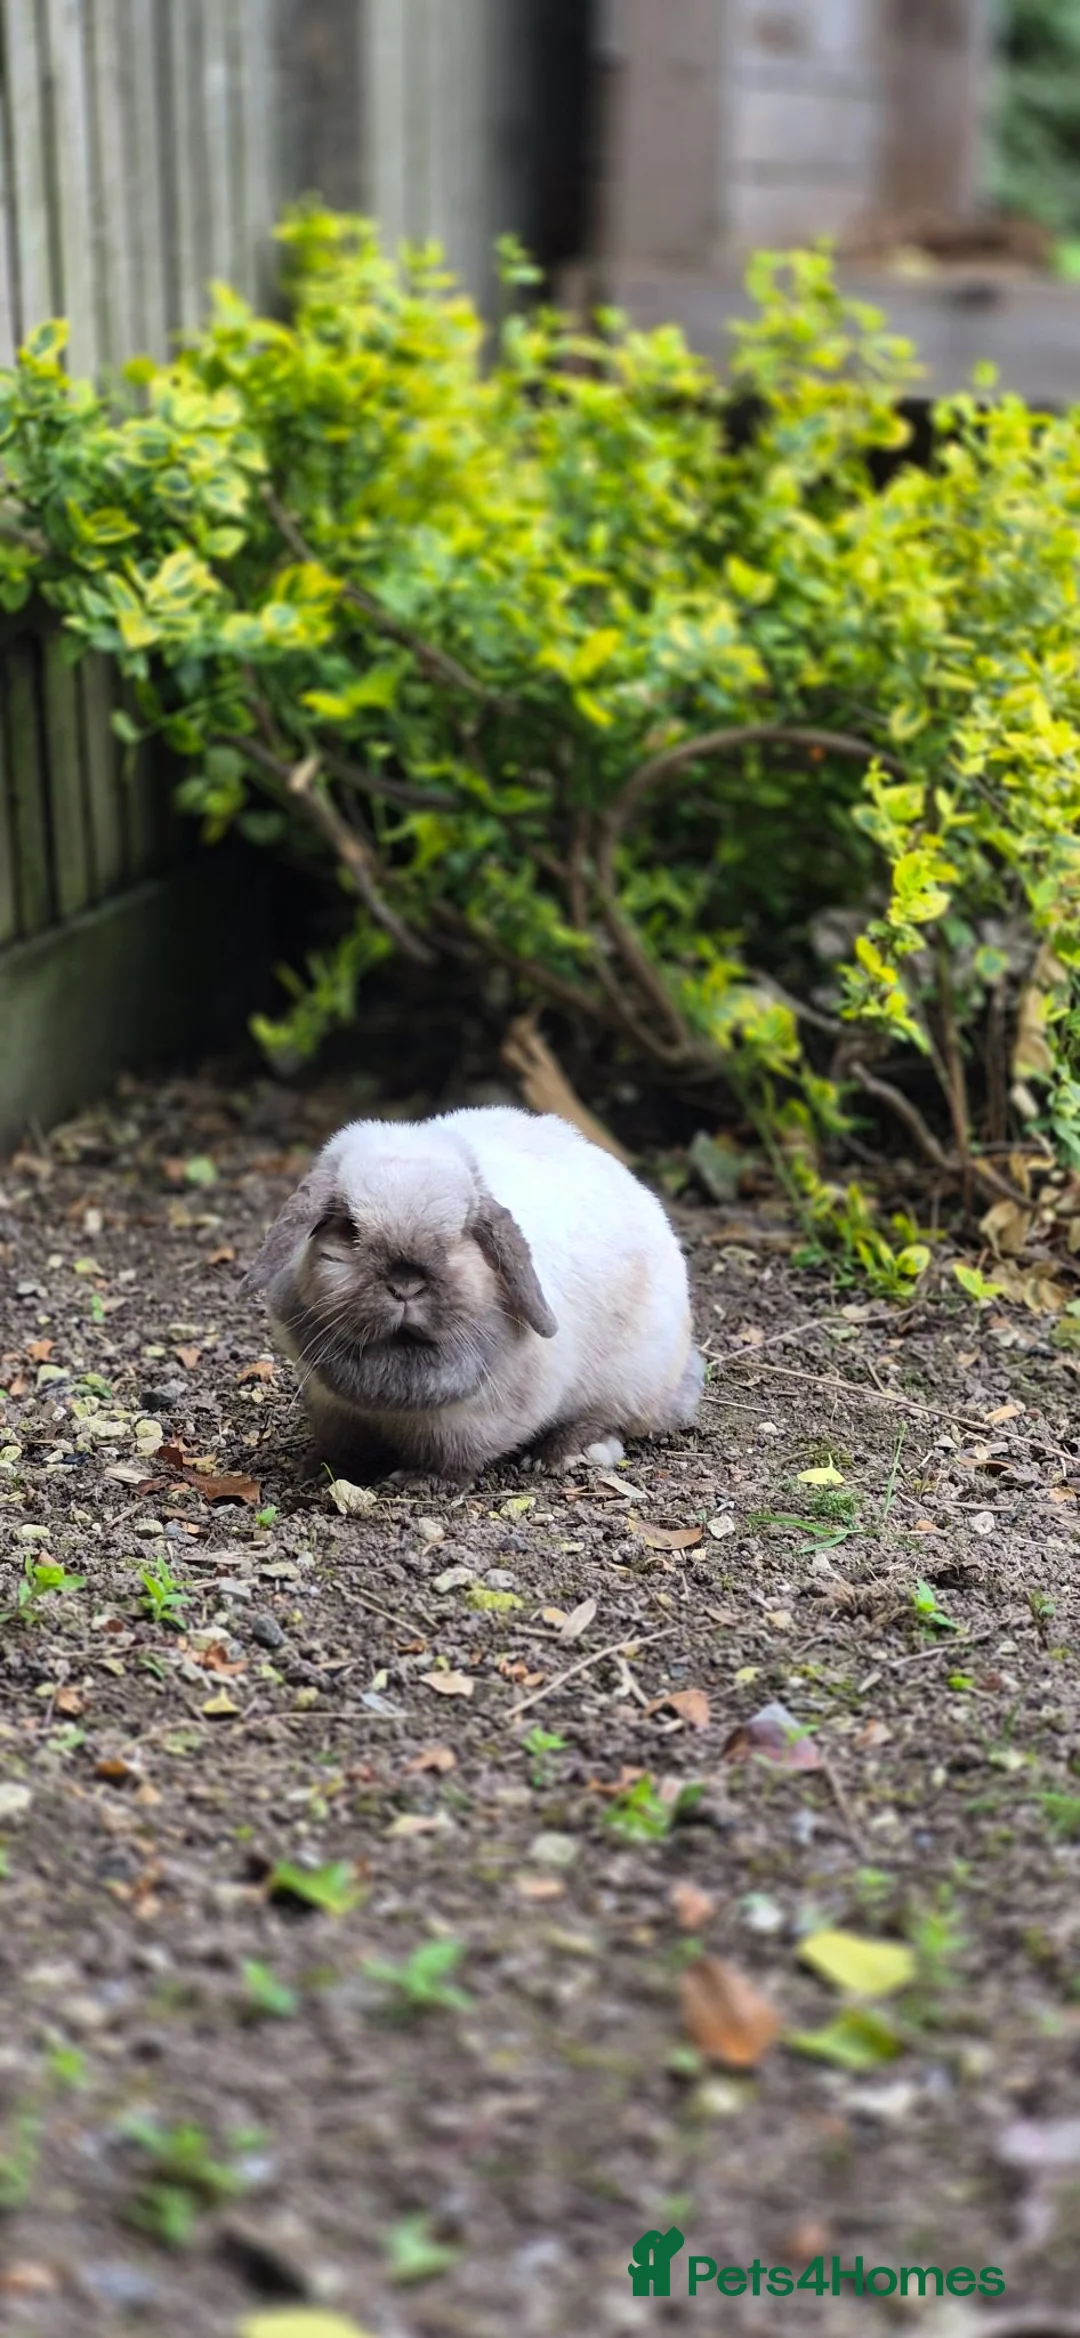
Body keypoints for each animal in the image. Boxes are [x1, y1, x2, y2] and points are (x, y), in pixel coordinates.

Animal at [243, 1105, 704, 1484]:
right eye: (350, 1228)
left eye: (458, 1235)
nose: (406, 1284)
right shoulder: (334, 1410)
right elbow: (343, 1447)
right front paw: (318, 1470)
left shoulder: (472, 1421)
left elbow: (452, 1457)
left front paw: (420, 1481)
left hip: (628, 1379)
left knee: (612, 1418)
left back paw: (563, 1453)